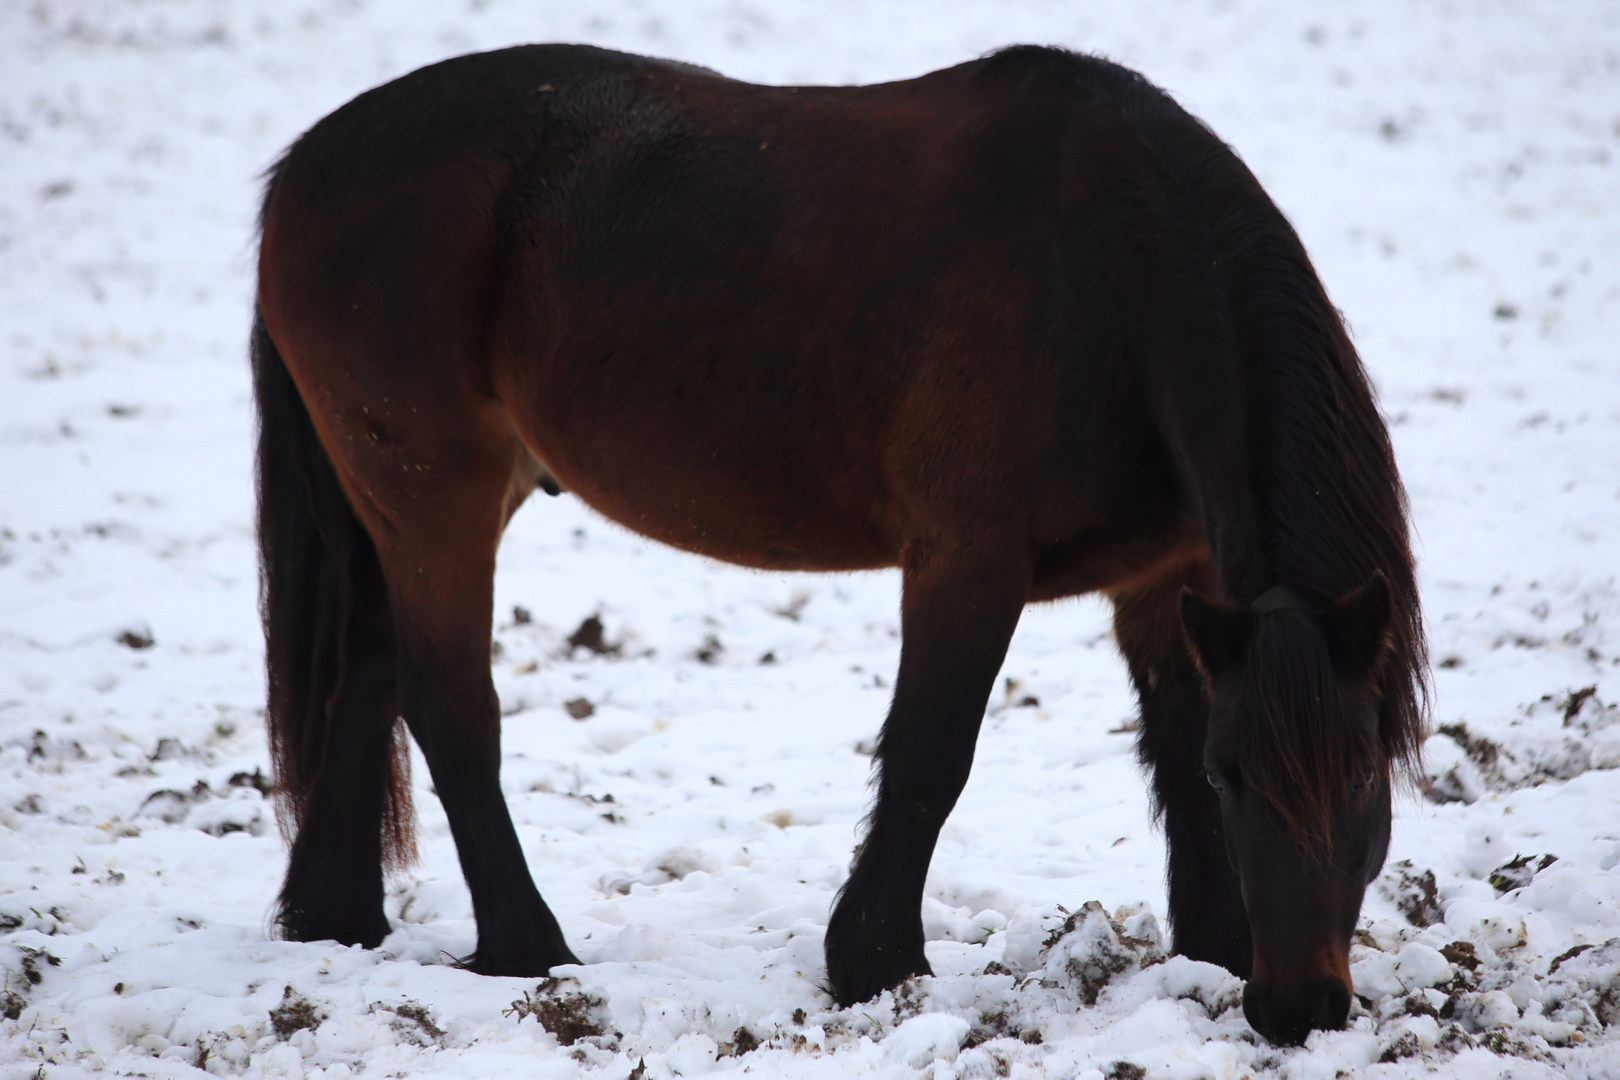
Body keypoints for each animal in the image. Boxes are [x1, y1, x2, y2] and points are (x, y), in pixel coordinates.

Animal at [246, 44, 1425, 1049]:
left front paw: (1214, 949)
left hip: (409, 508)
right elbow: (931, 755)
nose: (1300, 1007)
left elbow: (1168, 750)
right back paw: (527, 948)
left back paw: (337, 918)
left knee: (364, 676)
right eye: (1246, 776)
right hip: (434, 497)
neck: (1111, 277)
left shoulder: (1164, 578)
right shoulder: (967, 559)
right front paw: (876, 960)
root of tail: (306, 166)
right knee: (450, 707)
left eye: (1365, 765)